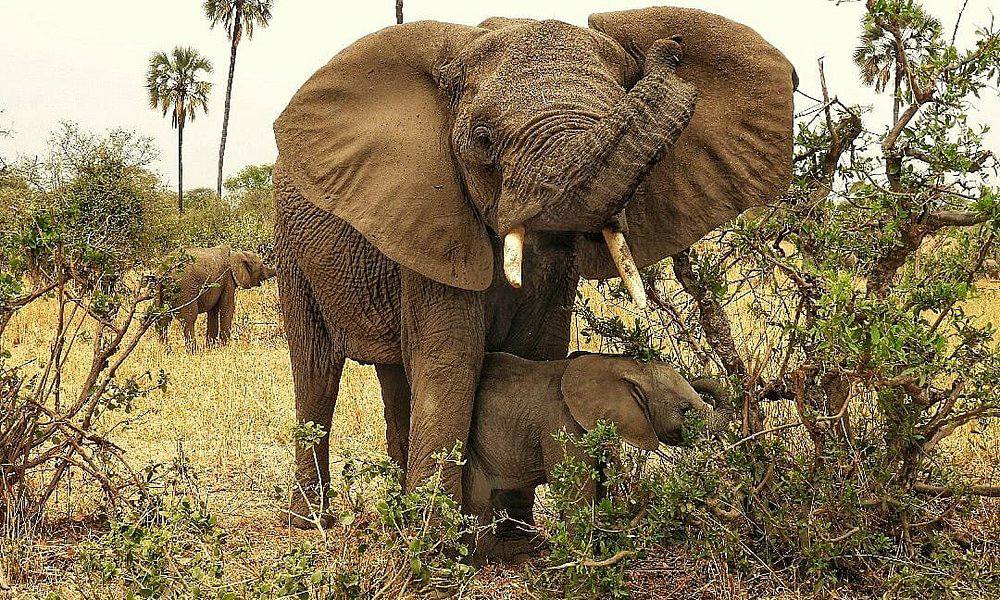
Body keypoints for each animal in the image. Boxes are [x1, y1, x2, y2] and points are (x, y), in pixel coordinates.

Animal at [272, 7, 794, 525]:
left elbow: (537, 347)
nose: (671, 47)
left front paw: (513, 530)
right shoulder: (433, 219)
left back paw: (395, 512)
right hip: (292, 251)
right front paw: (437, 541)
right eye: (482, 139)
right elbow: (452, 361)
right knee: (317, 371)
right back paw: (312, 521)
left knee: (394, 376)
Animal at [465, 352, 733, 562]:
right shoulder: (563, 425)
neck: (625, 366)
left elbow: (599, 489)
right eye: (685, 409)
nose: (698, 381)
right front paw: (579, 569)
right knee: (477, 501)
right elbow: (577, 494)